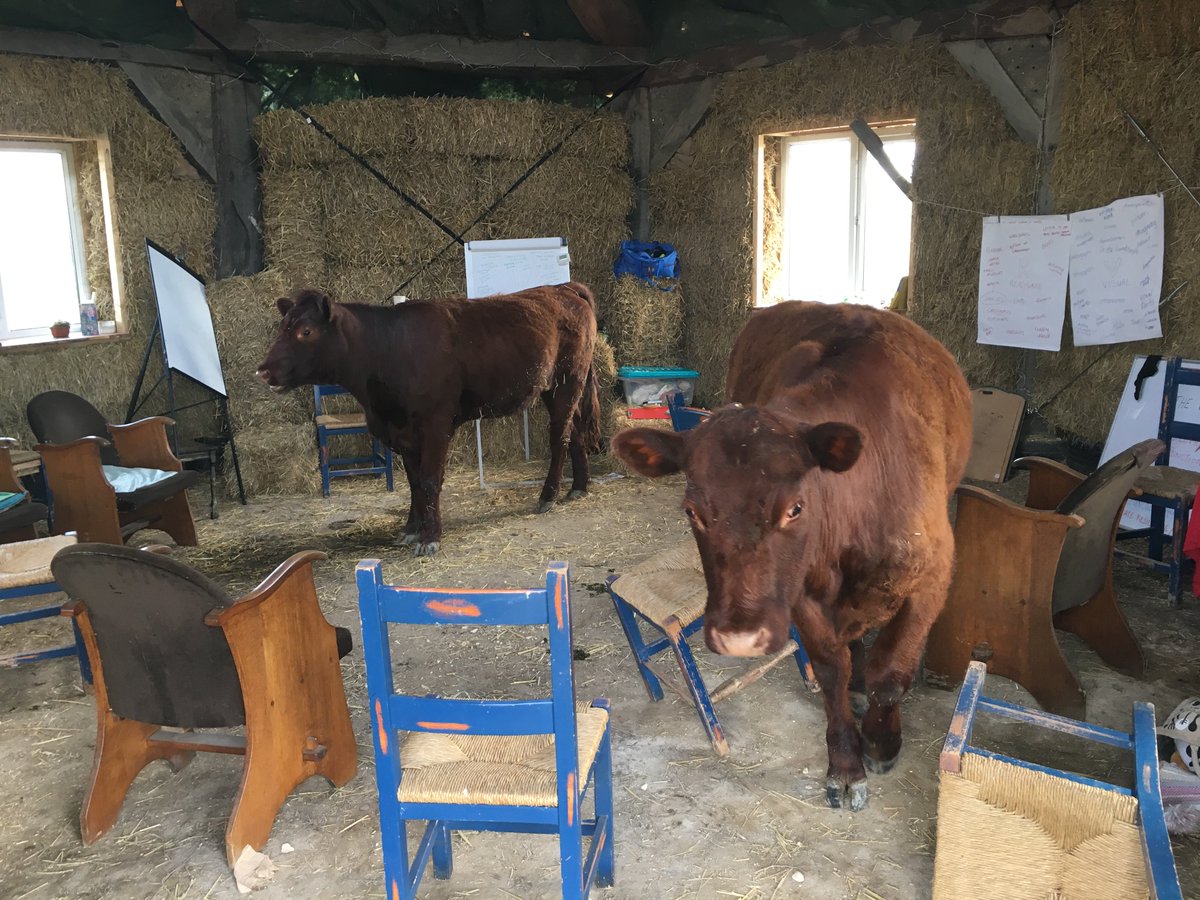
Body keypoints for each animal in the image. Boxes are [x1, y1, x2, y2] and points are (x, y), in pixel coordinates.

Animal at [257, 282, 602, 555]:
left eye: (305, 331)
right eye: (281, 328)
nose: (263, 371)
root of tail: (563, 287)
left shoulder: (435, 424)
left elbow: (430, 480)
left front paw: (430, 536)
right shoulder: (401, 432)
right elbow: (414, 483)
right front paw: (411, 529)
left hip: (567, 380)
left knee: (560, 436)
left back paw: (548, 496)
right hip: (558, 386)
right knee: (576, 432)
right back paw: (578, 486)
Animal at [611, 300, 971, 811]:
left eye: (795, 508)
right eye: (692, 511)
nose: (740, 636)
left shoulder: (931, 578)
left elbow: (890, 675)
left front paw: (882, 742)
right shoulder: (800, 595)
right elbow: (832, 669)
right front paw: (846, 764)